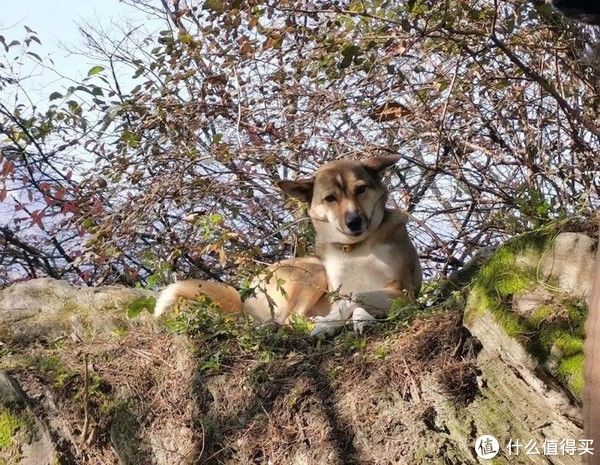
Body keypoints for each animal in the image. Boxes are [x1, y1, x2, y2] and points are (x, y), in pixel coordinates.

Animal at [157, 155, 424, 334]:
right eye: (330, 198)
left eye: (361, 190)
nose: (354, 222)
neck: (356, 248)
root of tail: (245, 298)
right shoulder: (341, 291)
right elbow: (349, 298)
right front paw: (329, 323)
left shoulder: (403, 292)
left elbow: (358, 297)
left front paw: (361, 319)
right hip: (313, 272)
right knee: (289, 319)